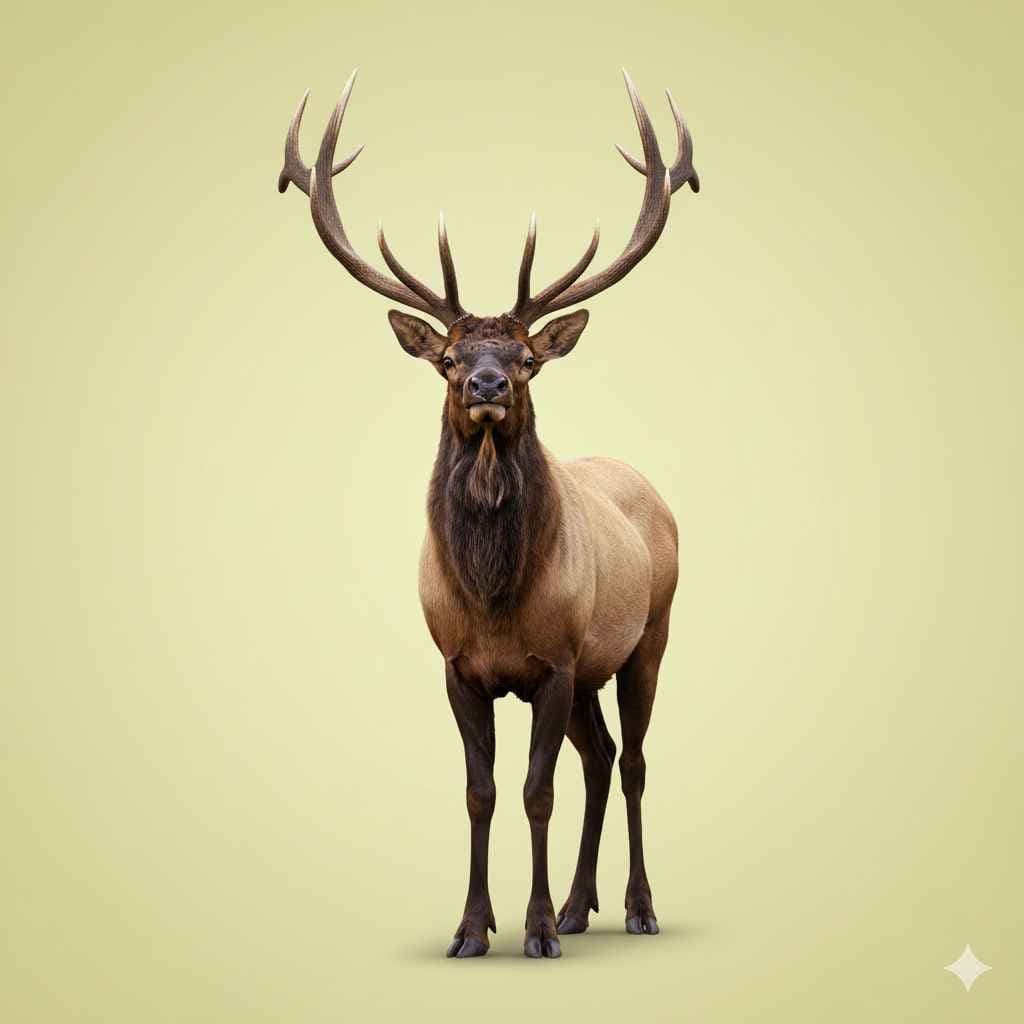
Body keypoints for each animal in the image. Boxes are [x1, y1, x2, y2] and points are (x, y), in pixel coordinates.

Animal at [278, 69, 699, 959]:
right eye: (447, 357)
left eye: (528, 357)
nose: (487, 384)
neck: (494, 595)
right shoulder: (458, 667)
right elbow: (481, 792)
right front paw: (473, 928)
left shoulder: (556, 661)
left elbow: (536, 792)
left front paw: (534, 930)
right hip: (592, 671)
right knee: (601, 755)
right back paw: (580, 905)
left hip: (648, 637)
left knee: (633, 760)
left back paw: (635, 907)